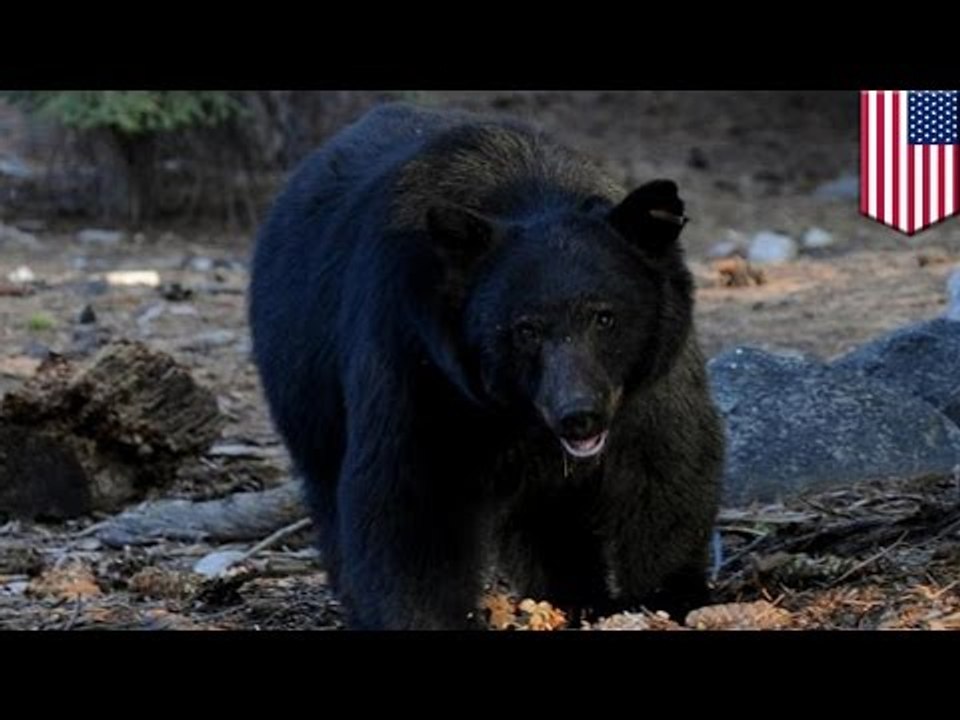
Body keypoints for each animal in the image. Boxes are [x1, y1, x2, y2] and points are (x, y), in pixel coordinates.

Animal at [248, 102, 725, 630]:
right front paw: (423, 617)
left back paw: (574, 597)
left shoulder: (650, 381)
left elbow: (664, 469)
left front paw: (671, 595)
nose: (579, 415)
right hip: (306, 386)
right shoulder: (419, 361)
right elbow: (412, 499)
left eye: (605, 317)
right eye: (525, 329)